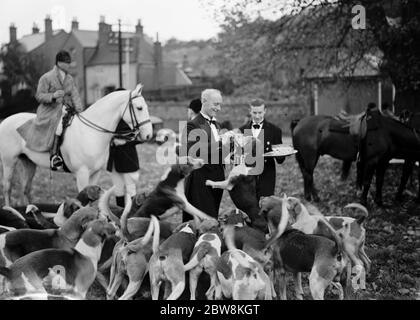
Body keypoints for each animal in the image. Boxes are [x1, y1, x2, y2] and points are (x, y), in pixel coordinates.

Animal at [0, 84, 153, 206]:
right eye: (139, 108)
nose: (148, 135)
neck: (91, 132)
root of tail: (4, 121)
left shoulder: (95, 173)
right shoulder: (82, 174)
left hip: (29, 163)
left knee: (26, 189)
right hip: (9, 162)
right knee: (7, 188)